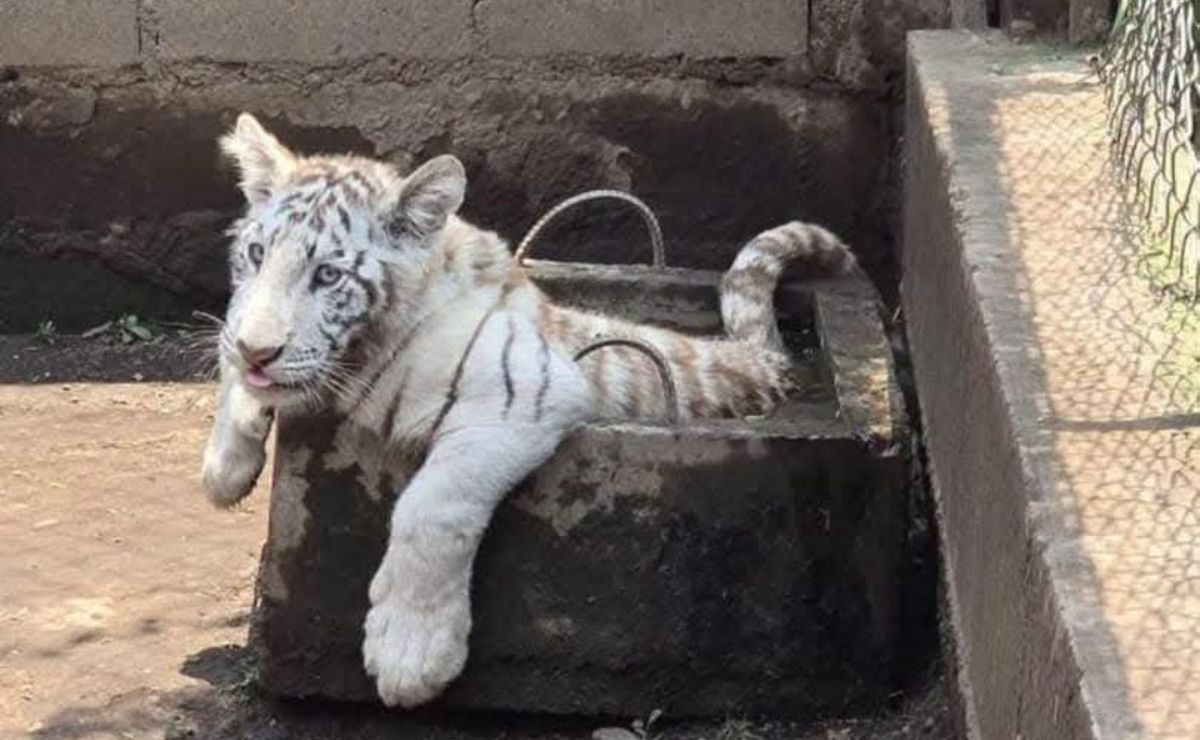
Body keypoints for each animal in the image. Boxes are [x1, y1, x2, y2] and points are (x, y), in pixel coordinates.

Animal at [200, 113, 856, 709]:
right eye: (255, 254)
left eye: (328, 275)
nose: (258, 351)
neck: (365, 350)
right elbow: (234, 352)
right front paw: (225, 466)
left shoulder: (526, 391)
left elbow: (430, 507)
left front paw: (411, 653)